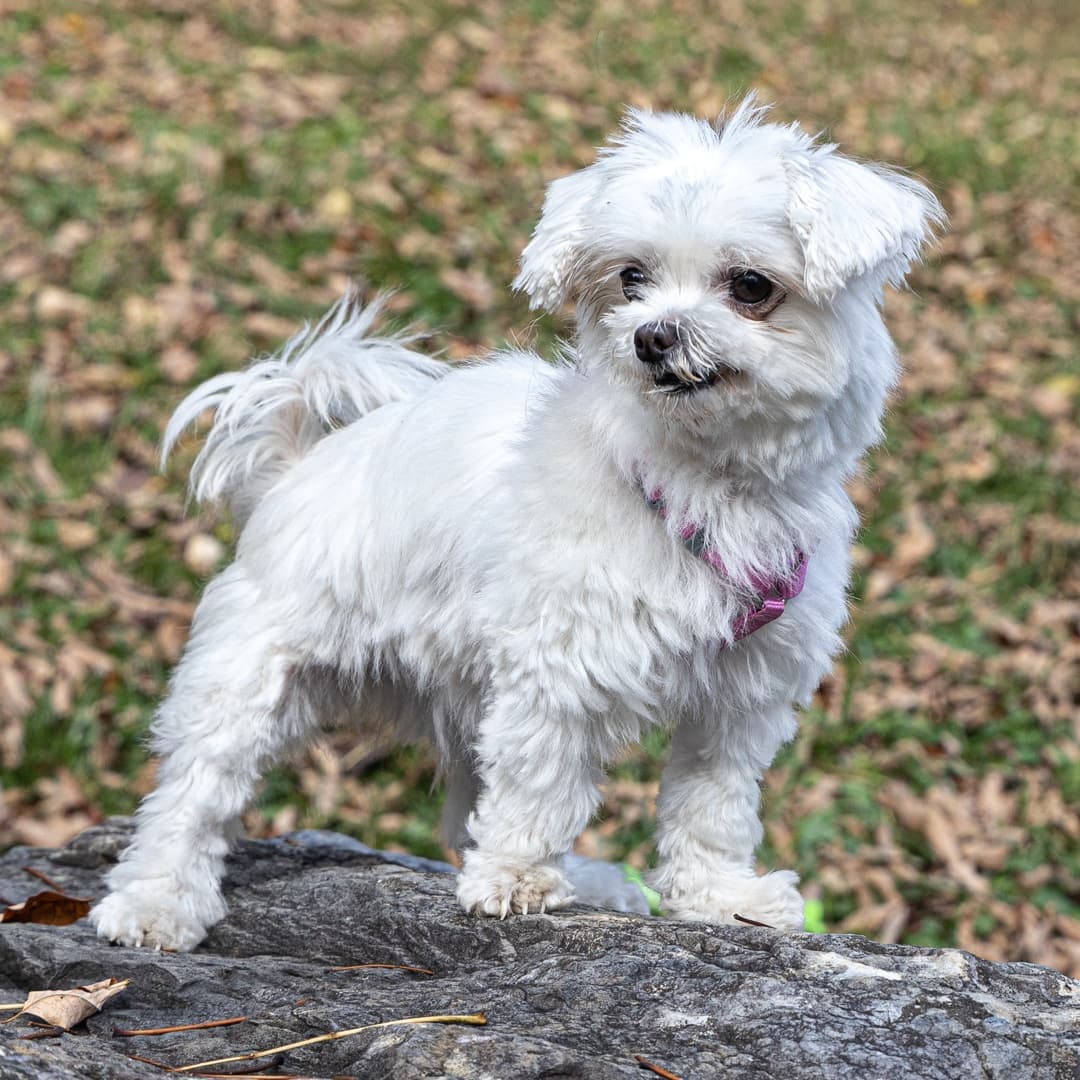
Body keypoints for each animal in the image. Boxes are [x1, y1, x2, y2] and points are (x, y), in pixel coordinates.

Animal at [88, 97, 941, 950]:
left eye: (751, 286)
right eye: (631, 279)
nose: (652, 336)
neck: (704, 480)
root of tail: (294, 471)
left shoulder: (739, 701)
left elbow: (711, 808)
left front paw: (719, 897)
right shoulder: (560, 666)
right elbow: (541, 783)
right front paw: (516, 879)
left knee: (465, 807)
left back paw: (593, 881)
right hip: (252, 674)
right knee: (194, 794)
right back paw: (155, 903)